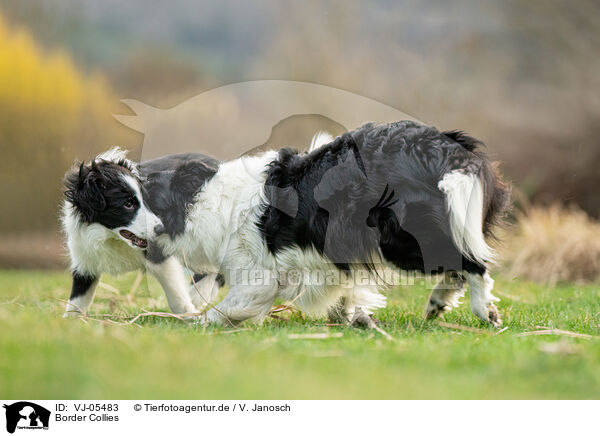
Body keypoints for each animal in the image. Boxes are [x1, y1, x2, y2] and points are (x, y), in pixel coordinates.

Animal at [62, 149, 224, 316]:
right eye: (128, 204)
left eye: (148, 201)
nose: (160, 229)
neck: (110, 237)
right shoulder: (84, 258)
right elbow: (77, 301)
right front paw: (70, 319)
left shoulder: (159, 255)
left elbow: (176, 293)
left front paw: (189, 314)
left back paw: (198, 294)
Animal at [152, 121, 508, 326]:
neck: (210, 201)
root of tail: (446, 147)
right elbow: (345, 293)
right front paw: (351, 318)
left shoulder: (258, 277)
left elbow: (222, 310)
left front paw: (196, 323)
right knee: (459, 263)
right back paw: (438, 303)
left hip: (401, 240)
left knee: (473, 264)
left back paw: (483, 310)